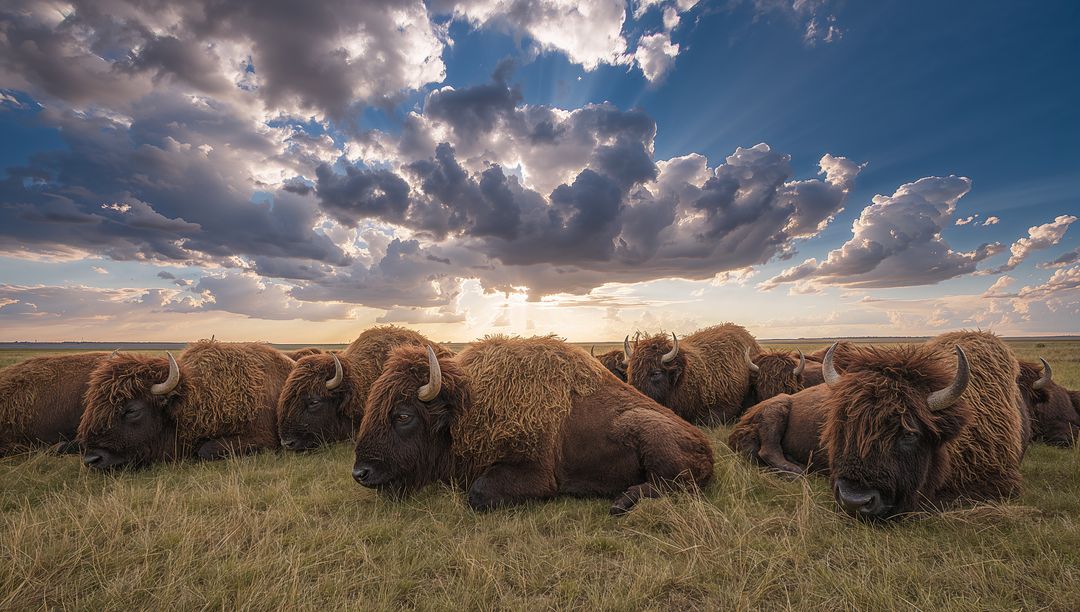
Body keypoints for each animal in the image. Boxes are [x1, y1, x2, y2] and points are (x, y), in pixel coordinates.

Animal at [352, 336, 714, 515]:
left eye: (403, 415)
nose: (360, 473)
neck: (468, 405)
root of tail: (706, 445)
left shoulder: (536, 474)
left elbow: (477, 494)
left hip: (649, 433)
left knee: (669, 486)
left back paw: (618, 503)